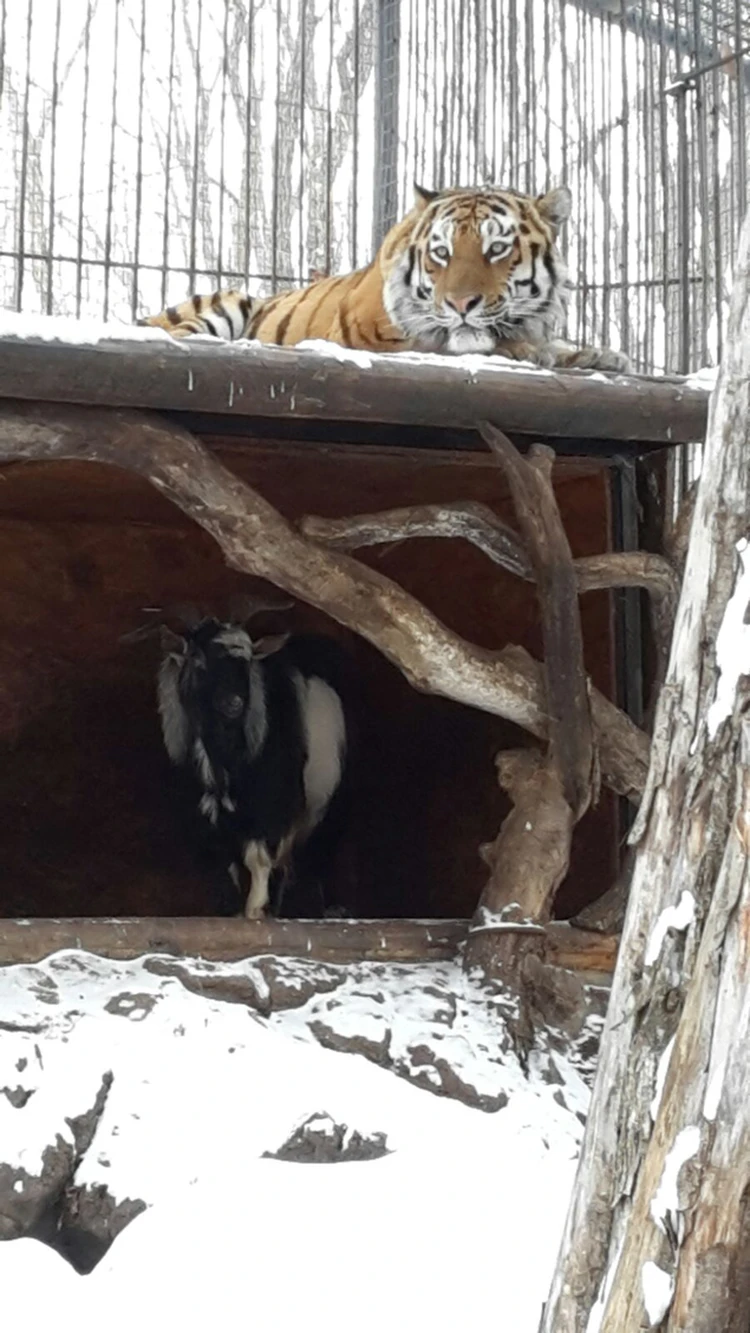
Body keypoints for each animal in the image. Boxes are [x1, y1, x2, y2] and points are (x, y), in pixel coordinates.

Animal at [137, 182, 631, 375]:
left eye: (496, 249)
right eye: (441, 253)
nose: (461, 305)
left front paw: (601, 355)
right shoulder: (367, 339)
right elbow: (455, 344)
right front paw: (531, 351)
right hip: (226, 302)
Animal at [157, 613, 349, 917]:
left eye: (247, 663)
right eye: (198, 661)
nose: (234, 703)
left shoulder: (275, 803)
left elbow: (259, 858)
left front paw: (257, 909)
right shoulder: (210, 815)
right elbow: (230, 865)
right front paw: (236, 910)